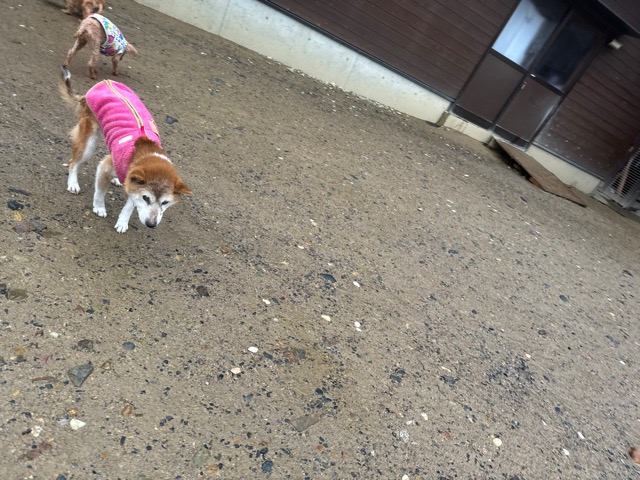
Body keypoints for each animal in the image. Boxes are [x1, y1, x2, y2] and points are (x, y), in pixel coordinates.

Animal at [59, 67, 191, 233]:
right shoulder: (105, 168)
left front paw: (123, 221)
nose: (151, 224)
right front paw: (99, 207)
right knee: (73, 162)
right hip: (88, 143)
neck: (146, 152)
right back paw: (73, 183)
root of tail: (103, 83)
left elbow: (129, 206)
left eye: (165, 202)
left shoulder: (134, 186)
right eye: (146, 198)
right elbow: (100, 192)